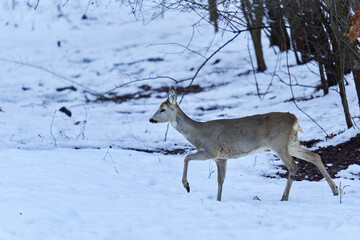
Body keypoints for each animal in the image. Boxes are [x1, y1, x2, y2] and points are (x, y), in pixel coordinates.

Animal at [148, 86, 338, 201]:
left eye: (162, 109)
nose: (151, 119)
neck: (197, 134)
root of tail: (294, 118)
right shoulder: (221, 157)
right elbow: (220, 180)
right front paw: (218, 200)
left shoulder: (212, 150)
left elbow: (186, 157)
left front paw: (187, 186)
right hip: (291, 142)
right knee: (315, 156)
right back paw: (335, 190)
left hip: (278, 143)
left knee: (293, 166)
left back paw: (284, 198)